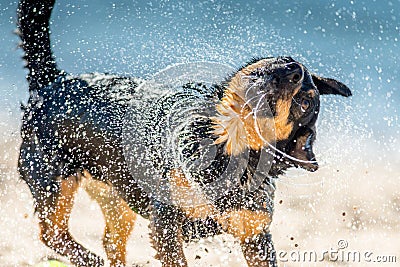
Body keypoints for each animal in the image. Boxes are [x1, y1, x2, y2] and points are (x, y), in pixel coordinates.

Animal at [17, 0, 352, 267]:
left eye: (305, 102)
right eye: (288, 61)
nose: (295, 68)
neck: (227, 147)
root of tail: (53, 81)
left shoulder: (254, 234)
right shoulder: (165, 223)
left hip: (115, 195)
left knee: (108, 240)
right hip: (54, 180)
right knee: (53, 234)